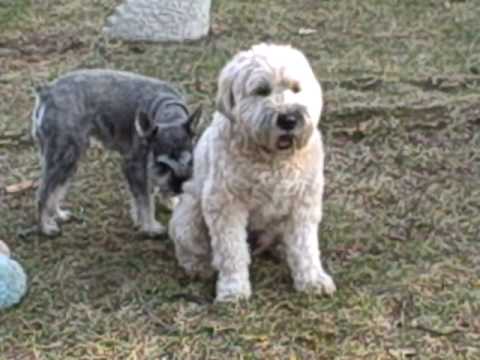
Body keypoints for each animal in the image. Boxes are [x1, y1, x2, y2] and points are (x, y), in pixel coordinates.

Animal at [31, 69, 201, 238]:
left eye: (190, 161)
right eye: (162, 165)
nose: (179, 189)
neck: (165, 111)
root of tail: (46, 92)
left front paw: (169, 201)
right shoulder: (134, 166)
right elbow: (145, 200)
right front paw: (150, 227)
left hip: (69, 160)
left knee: (55, 190)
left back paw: (58, 214)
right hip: (64, 155)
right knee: (43, 193)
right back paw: (45, 226)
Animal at [171, 43, 336, 302]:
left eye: (295, 88)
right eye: (261, 90)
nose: (288, 119)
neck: (272, 159)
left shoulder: (303, 203)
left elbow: (305, 246)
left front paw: (312, 280)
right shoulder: (225, 203)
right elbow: (231, 251)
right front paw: (233, 289)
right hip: (189, 214)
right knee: (190, 248)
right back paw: (200, 267)